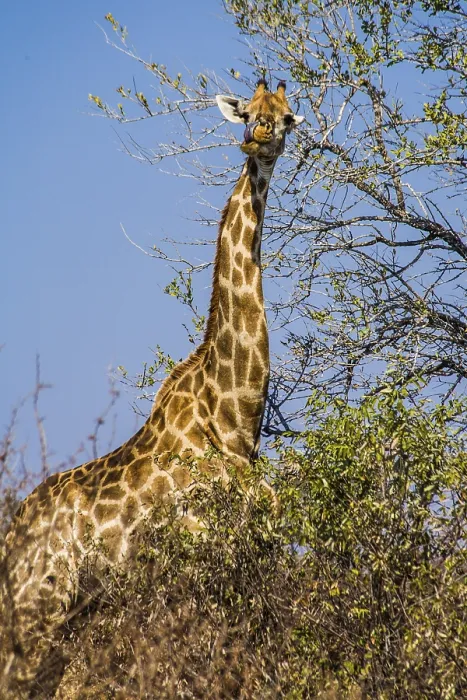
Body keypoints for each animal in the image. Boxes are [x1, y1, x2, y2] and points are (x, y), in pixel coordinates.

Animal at [0, 79, 304, 697]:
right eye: (248, 110)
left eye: (286, 117)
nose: (256, 136)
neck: (234, 421)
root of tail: (9, 544)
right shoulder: (200, 559)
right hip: (39, 609)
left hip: (64, 617)